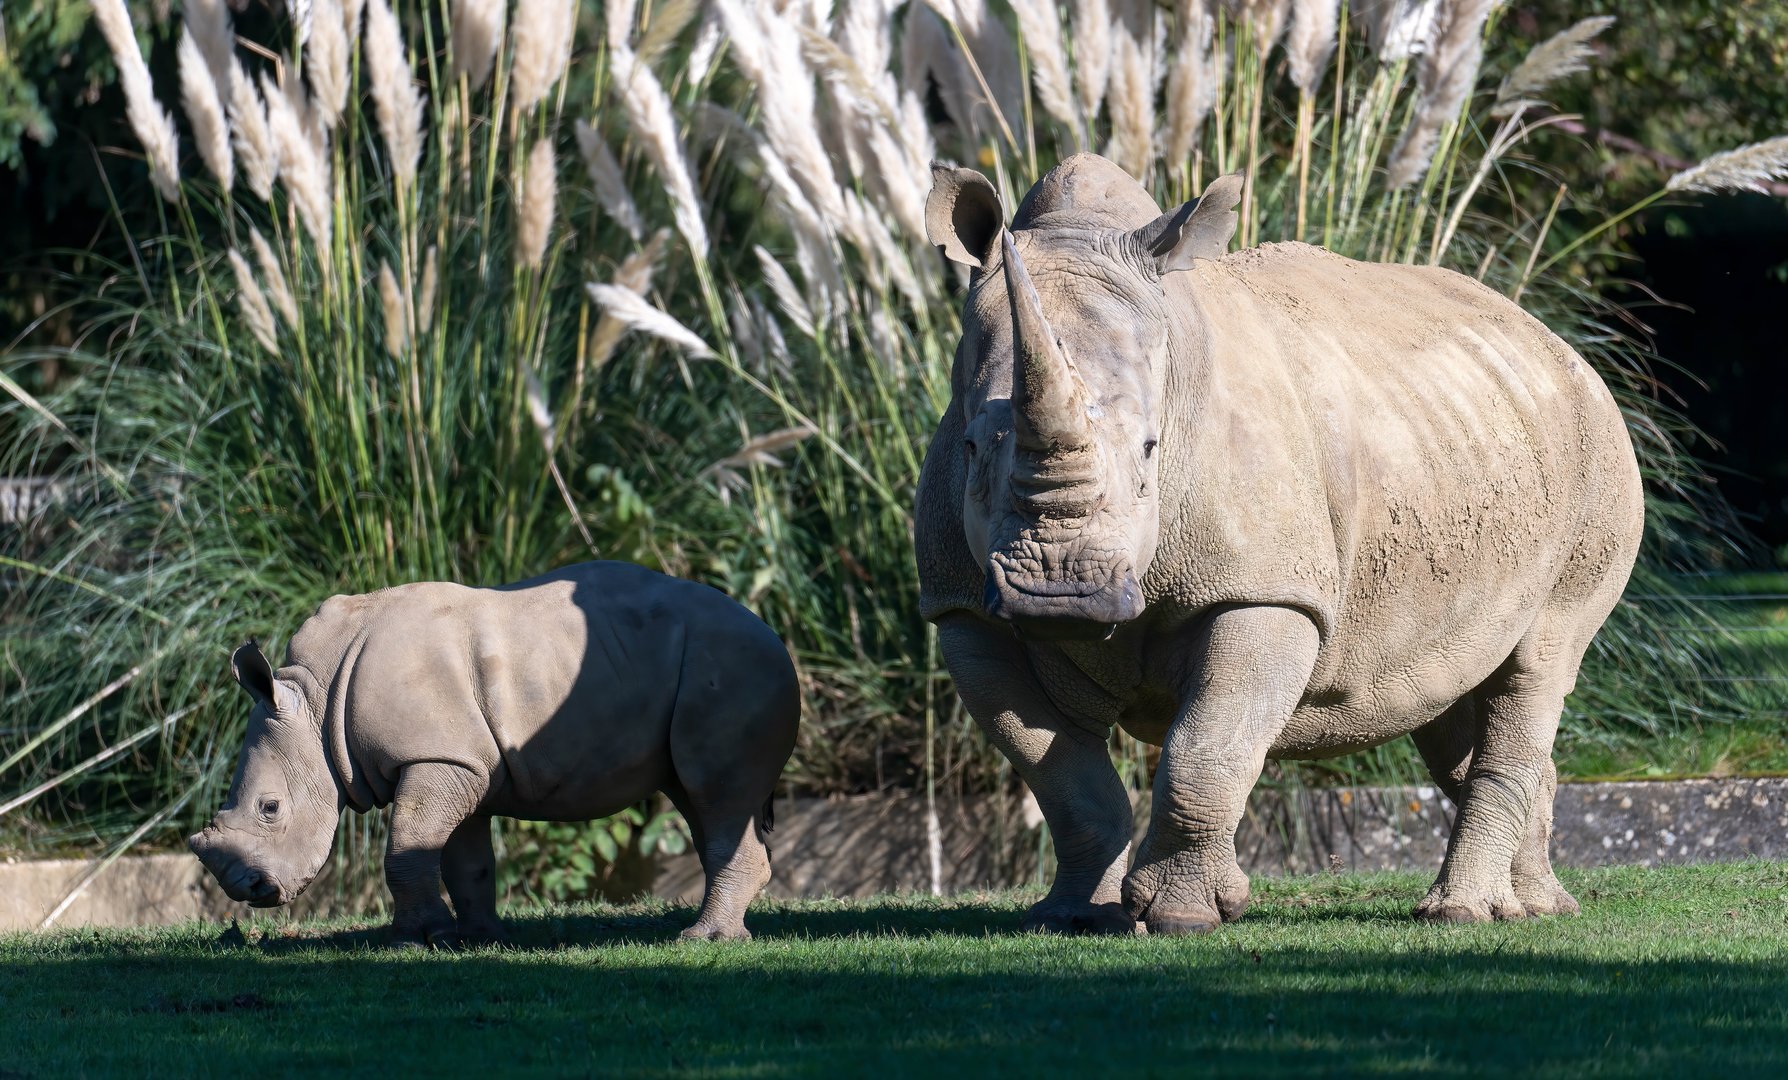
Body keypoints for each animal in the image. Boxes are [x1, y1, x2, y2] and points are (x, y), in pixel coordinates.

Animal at [188, 561, 800, 945]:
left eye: (269, 809)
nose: (249, 891)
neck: (315, 702)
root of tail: (775, 636)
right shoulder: (462, 761)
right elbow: (464, 859)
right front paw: (477, 939)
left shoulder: (435, 758)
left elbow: (406, 847)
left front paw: (414, 940)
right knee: (700, 800)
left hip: (734, 664)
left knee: (716, 795)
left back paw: (703, 939)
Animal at [915, 155, 1644, 934]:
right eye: (969, 448)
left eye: (1151, 452)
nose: (1061, 590)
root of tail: (1557, 343)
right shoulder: (964, 608)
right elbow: (1057, 772)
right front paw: (1076, 917)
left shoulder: (1266, 590)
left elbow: (1207, 746)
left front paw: (1183, 915)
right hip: (1476, 436)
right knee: (1450, 689)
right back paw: (1534, 907)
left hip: (1598, 456)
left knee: (1540, 660)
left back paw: (1459, 913)